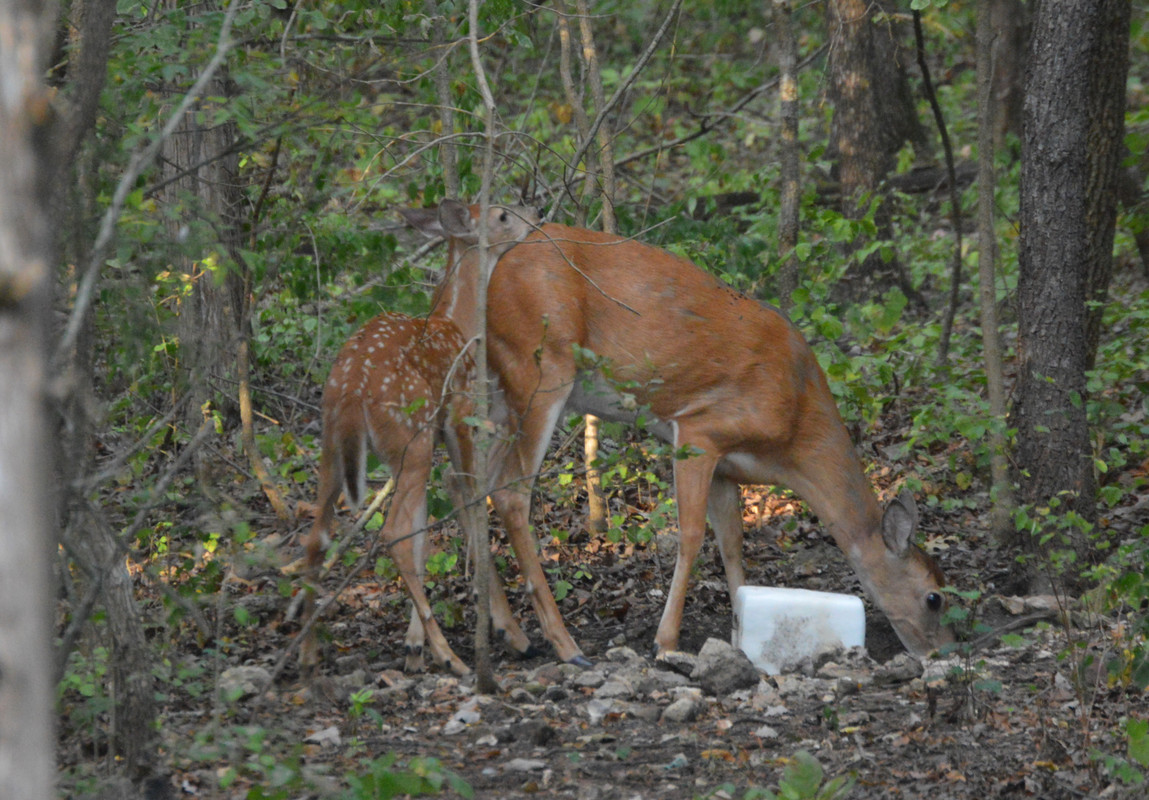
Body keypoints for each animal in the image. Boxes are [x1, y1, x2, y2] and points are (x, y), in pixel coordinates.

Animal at [304, 200, 547, 676]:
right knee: (393, 532)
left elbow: (423, 537)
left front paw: (413, 646)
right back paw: (454, 658)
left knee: (318, 533)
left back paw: (305, 650)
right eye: (503, 214)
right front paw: (510, 633)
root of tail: (350, 391)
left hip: (338, 450)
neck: (456, 321)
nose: (537, 214)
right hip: (410, 437)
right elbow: (468, 504)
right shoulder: (460, 421)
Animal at [469, 216, 957, 665]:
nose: (942, 652)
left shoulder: (726, 465)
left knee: (478, 484)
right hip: (542, 367)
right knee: (511, 493)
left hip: (501, 382)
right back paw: (565, 646)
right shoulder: (701, 430)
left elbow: (733, 543)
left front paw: (744, 630)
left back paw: (512, 633)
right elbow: (690, 535)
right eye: (934, 596)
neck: (794, 436)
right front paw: (665, 642)